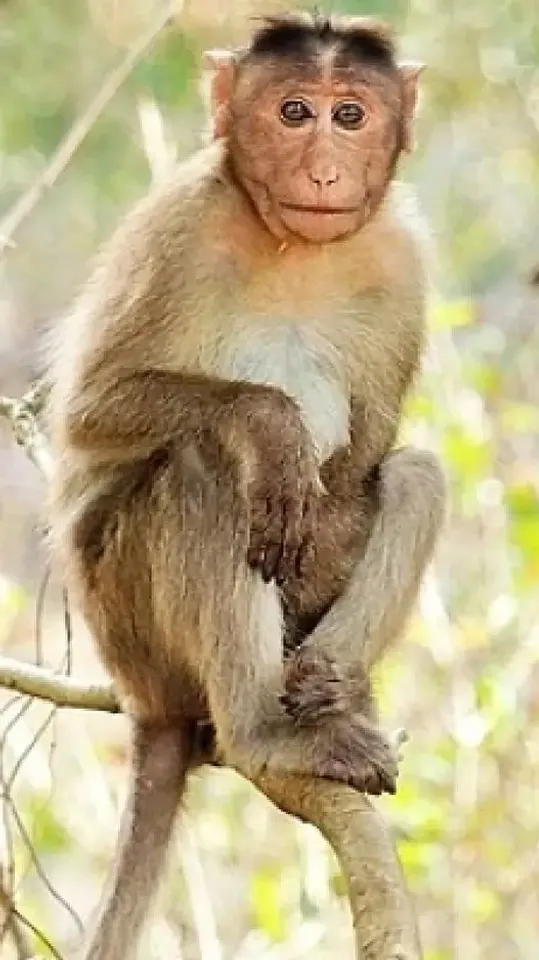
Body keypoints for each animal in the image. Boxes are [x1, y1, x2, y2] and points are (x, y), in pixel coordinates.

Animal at [45, 12, 446, 959]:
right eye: (293, 111)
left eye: (349, 115)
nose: (323, 169)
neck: (295, 246)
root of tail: (147, 703)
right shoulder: (176, 226)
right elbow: (86, 415)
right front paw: (271, 425)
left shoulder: (401, 258)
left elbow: (368, 458)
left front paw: (336, 678)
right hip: (130, 622)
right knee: (205, 469)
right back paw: (266, 733)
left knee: (413, 474)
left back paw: (327, 687)